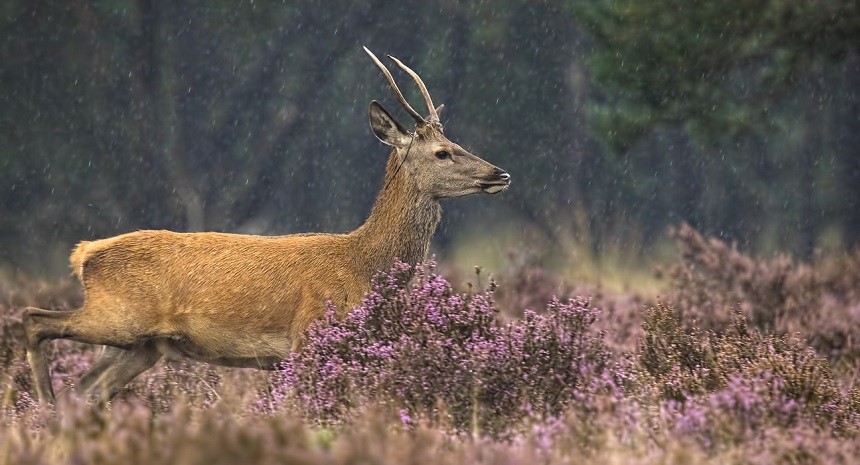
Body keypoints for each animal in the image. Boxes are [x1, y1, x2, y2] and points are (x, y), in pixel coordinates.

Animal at [22, 47, 510, 404]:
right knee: (34, 320)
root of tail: (85, 253)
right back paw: (41, 407)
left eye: (454, 141)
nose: (500, 173)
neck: (363, 264)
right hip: (119, 315)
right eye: (442, 152)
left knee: (84, 389)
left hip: (140, 345)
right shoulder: (309, 331)